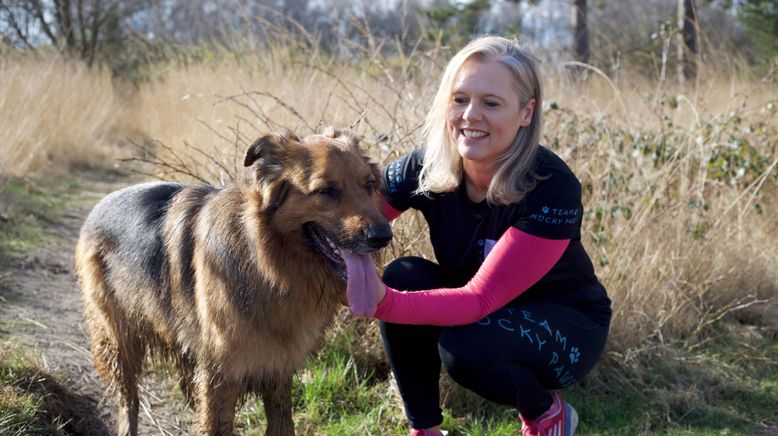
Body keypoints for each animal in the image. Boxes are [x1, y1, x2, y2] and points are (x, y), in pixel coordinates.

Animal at [76, 127, 392, 434]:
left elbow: (282, 425)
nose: (383, 236)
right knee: (128, 401)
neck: (266, 265)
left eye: (369, 185)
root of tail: (100, 204)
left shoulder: (277, 372)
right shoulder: (220, 379)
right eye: (326, 191)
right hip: (119, 343)